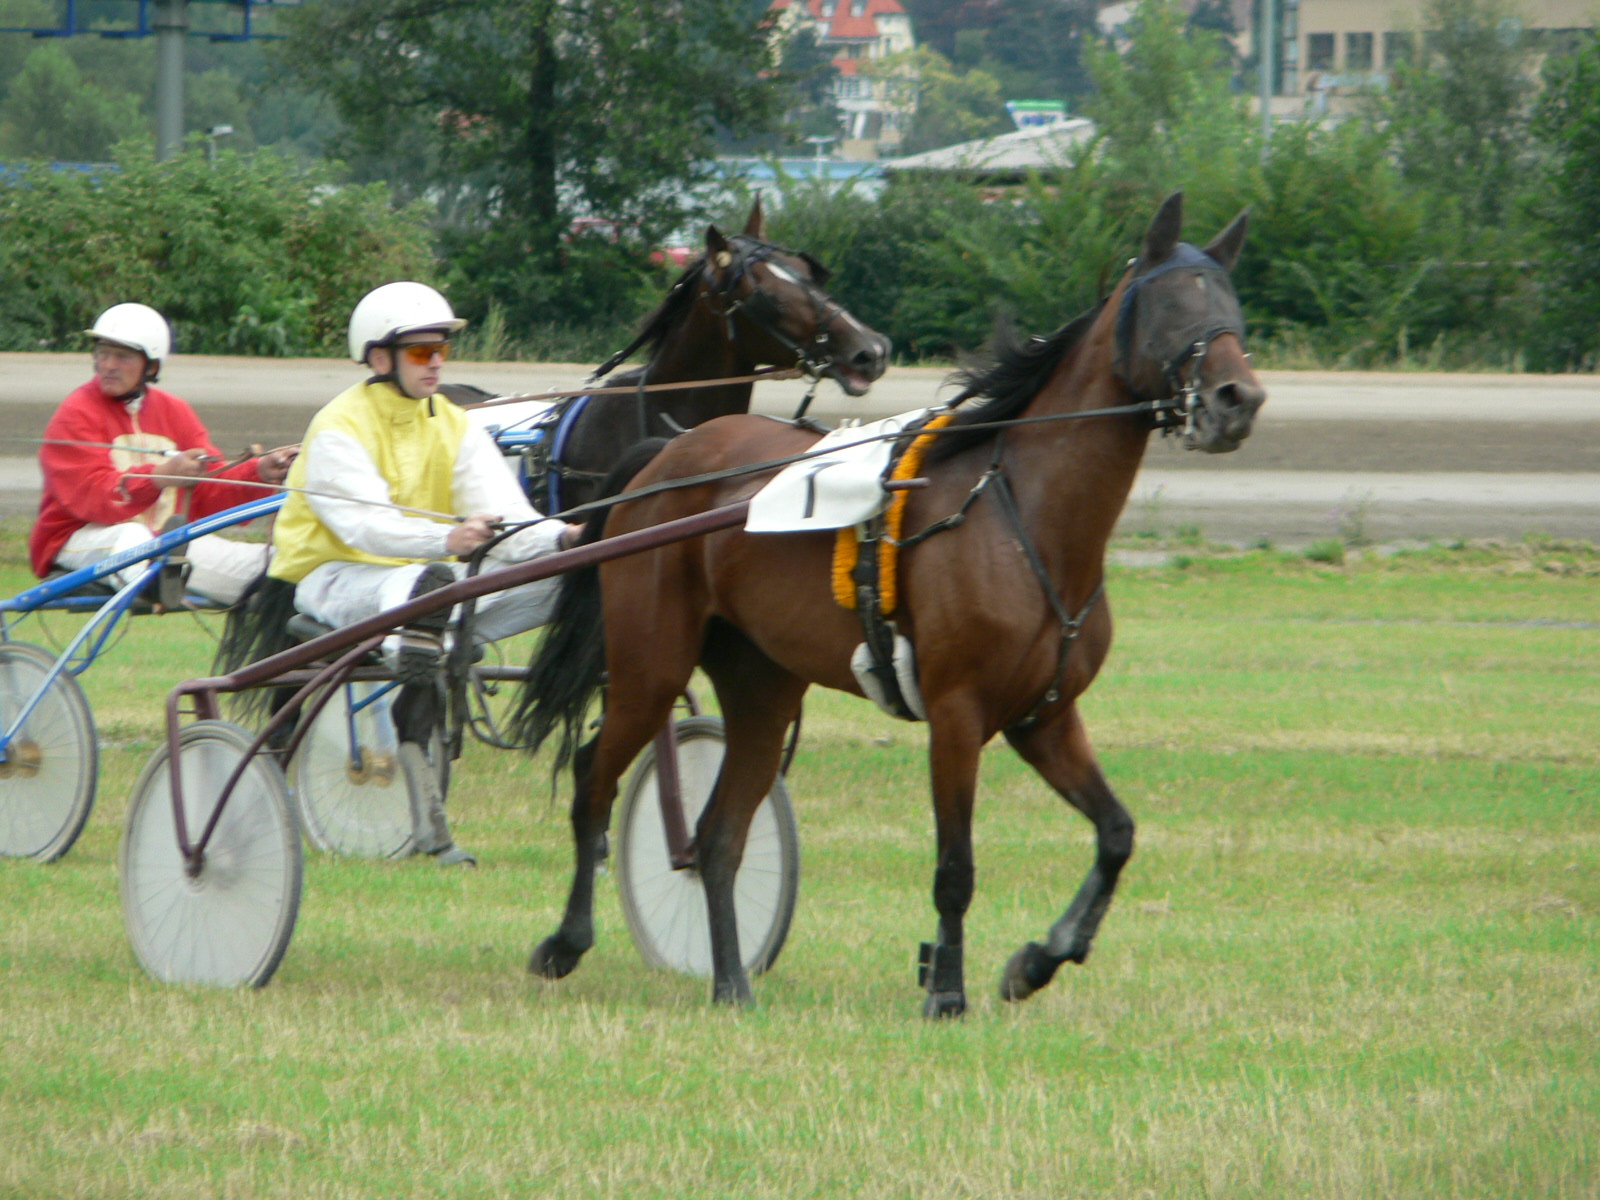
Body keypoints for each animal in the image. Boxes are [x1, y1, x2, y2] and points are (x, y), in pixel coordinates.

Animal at [518, 195, 1267, 1017]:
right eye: (1171, 307)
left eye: (1230, 306)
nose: (1239, 399)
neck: (1026, 518)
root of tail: (667, 458)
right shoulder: (957, 711)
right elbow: (956, 868)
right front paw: (947, 992)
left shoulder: (1044, 714)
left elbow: (1117, 833)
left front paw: (1039, 959)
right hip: (651, 662)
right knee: (593, 778)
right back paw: (566, 942)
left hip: (763, 685)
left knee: (717, 836)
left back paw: (731, 983)